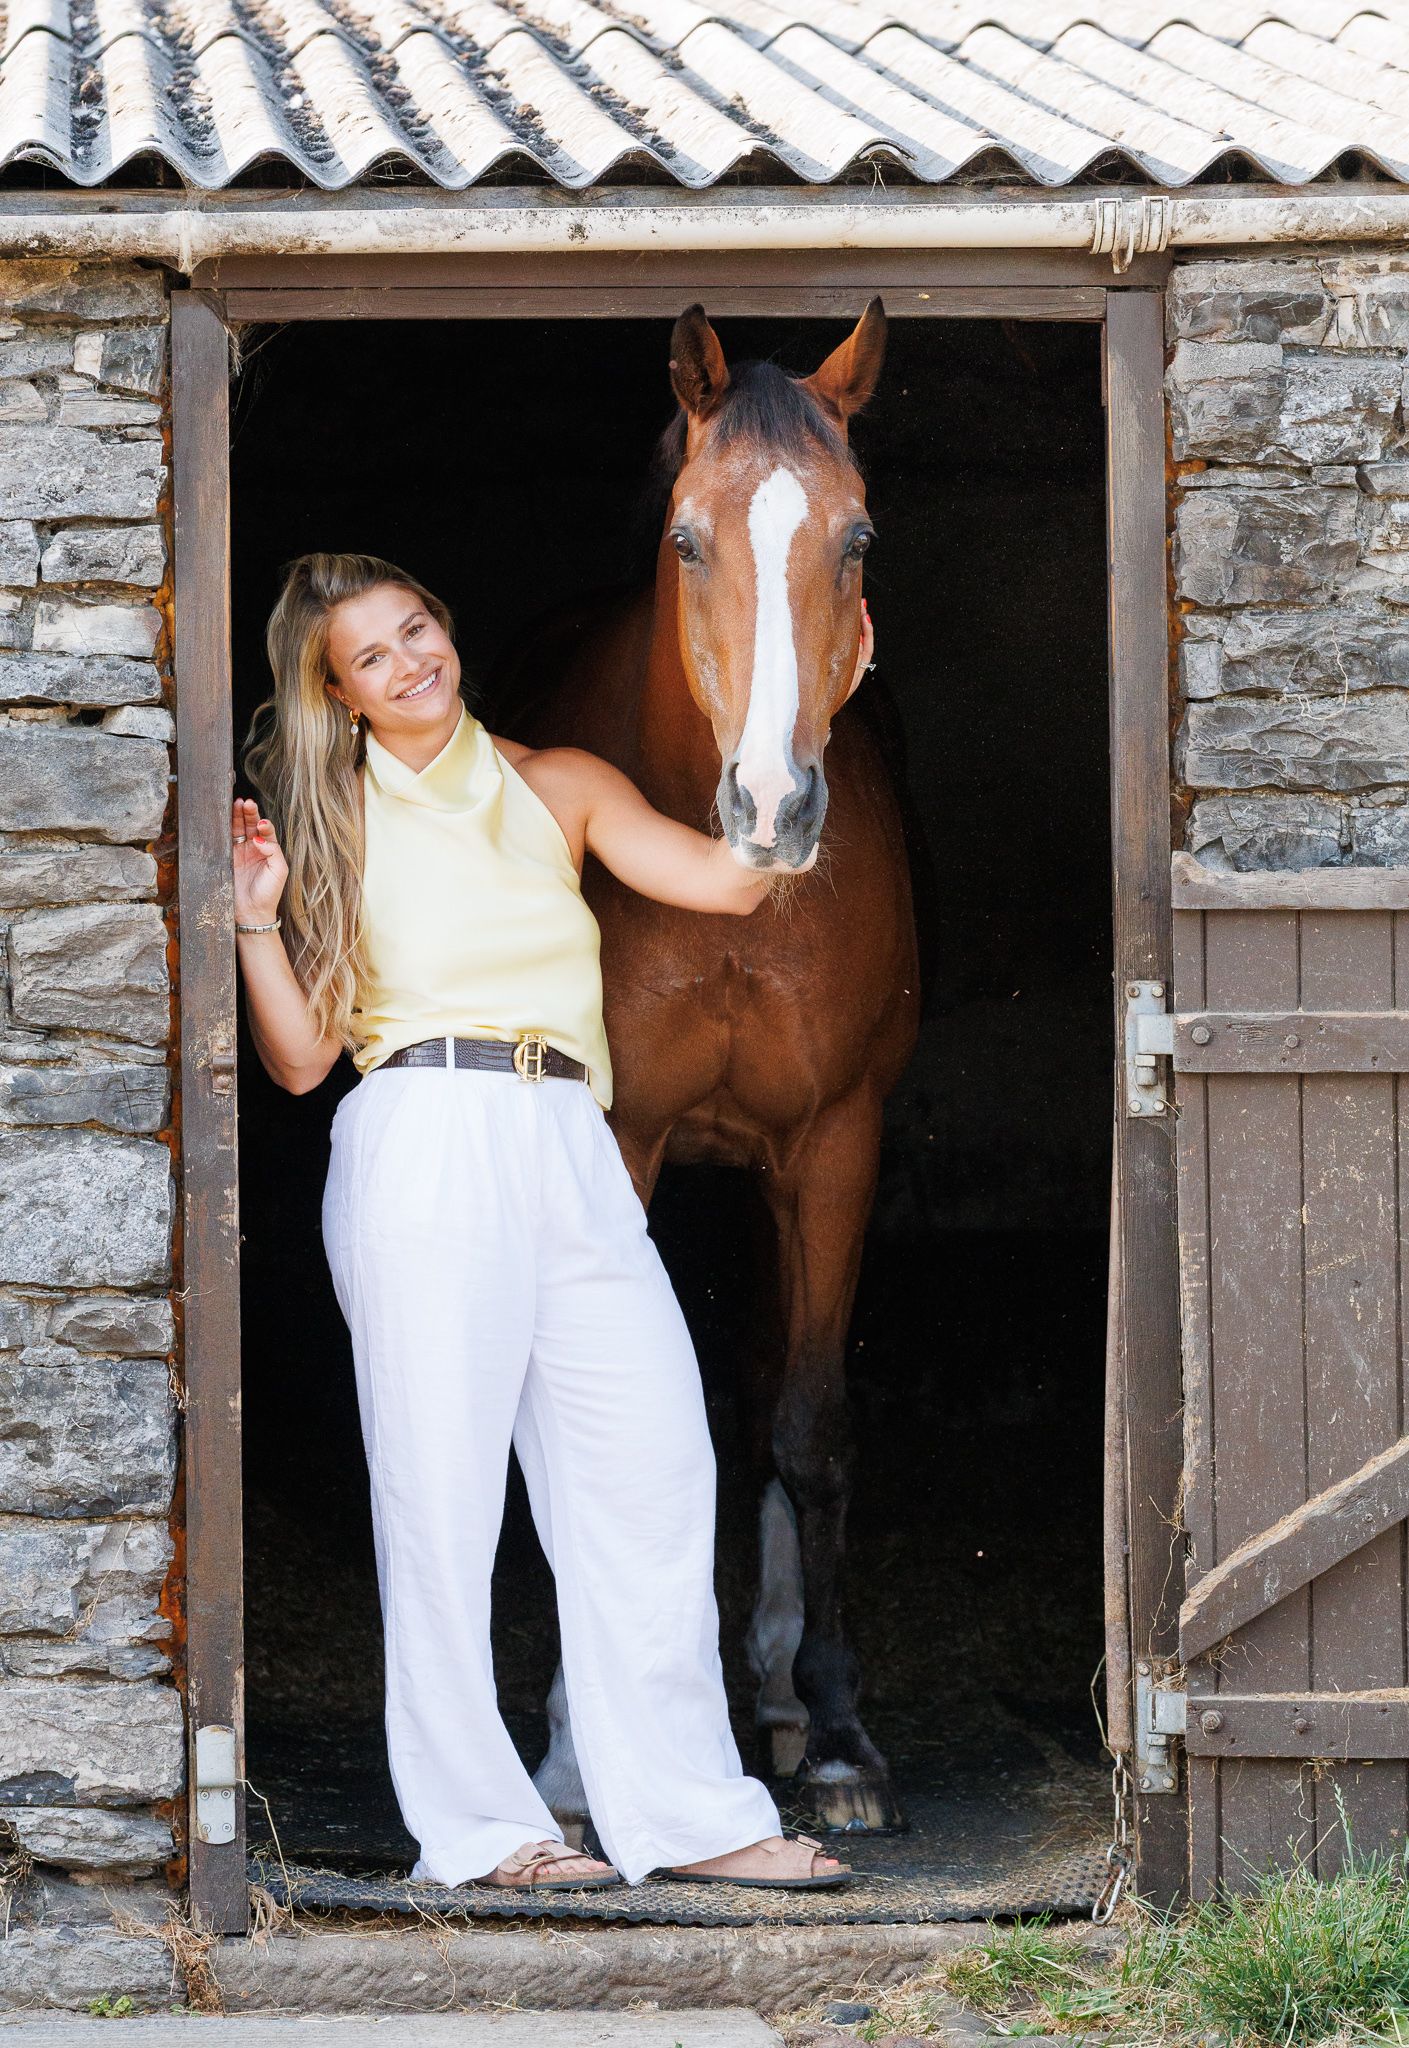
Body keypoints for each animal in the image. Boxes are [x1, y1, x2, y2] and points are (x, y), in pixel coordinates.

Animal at [509, 303, 920, 1833]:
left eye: (856, 538)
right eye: (689, 538)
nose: (772, 804)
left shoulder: (835, 1142)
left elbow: (810, 1425)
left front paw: (844, 1730)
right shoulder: (618, 1138)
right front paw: (577, 1749)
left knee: (759, 1387)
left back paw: (783, 1694)